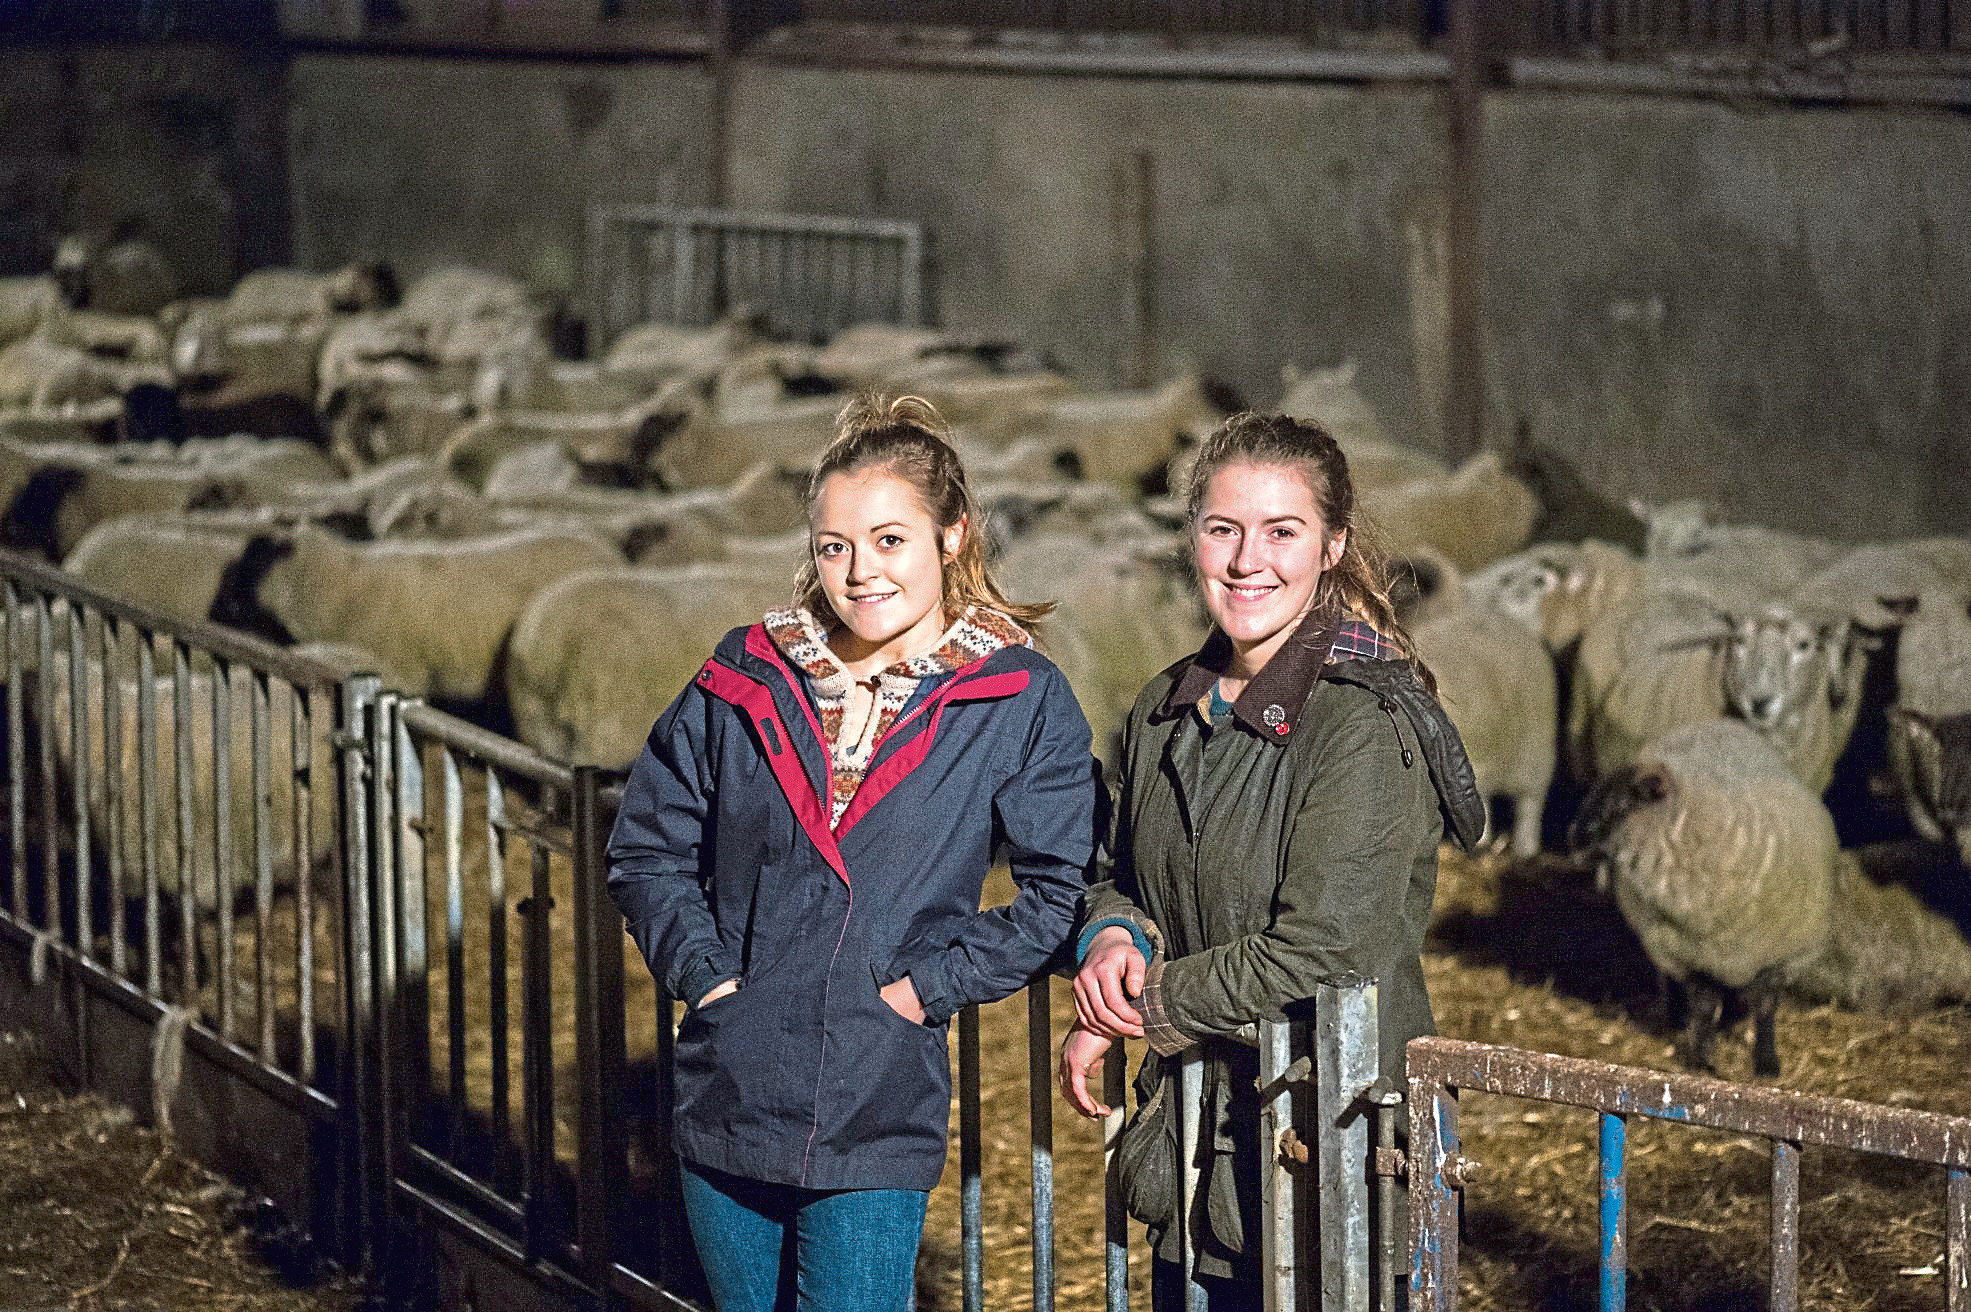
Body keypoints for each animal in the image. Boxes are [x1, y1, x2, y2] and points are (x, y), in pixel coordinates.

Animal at [1561, 717, 1836, 1071]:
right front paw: (1701, 1058)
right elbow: (1703, 1006)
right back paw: (1674, 1018)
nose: (1572, 840)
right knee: (1670, 982)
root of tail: (1715, 722)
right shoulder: (1686, 956)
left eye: (1622, 806)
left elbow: (1765, 1005)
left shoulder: (1782, 956)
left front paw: (1766, 1061)